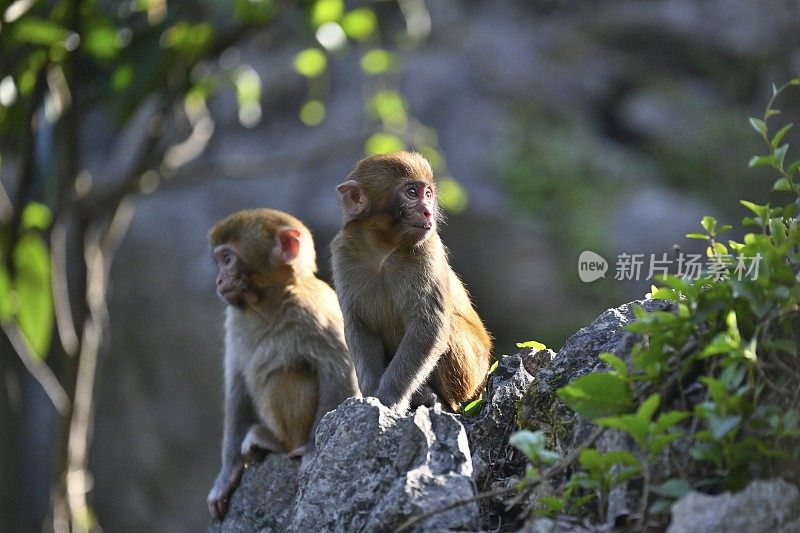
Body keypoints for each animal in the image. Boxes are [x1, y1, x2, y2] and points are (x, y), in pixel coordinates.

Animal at [206, 208, 360, 520]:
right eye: (219, 260)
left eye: (227, 259)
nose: (218, 281)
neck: (269, 304)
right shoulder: (235, 320)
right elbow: (237, 386)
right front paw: (227, 473)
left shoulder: (315, 312)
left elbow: (339, 369)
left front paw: (313, 451)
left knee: (285, 375)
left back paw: (276, 442)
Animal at [328, 150, 490, 412]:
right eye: (412, 192)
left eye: (428, 194)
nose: (427, 211)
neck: (384, 248)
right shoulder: (344, 250)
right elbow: (360, 325)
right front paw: (369, 396)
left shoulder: (428, 248)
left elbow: (428, 325)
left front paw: (388, 399)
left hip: (473, 372)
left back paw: (436, 399)